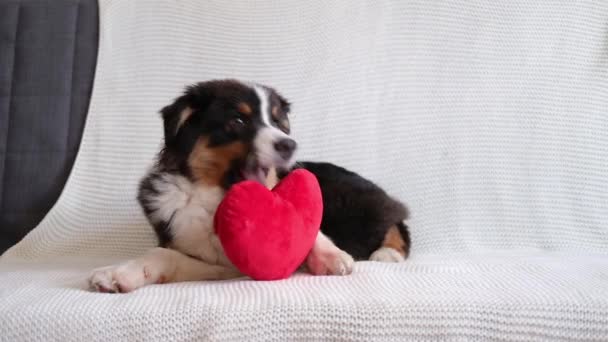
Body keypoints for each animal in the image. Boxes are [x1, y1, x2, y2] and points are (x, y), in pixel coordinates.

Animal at [88, 79, 410, 292]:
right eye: (238, 120)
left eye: (279, 123)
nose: (290, 144)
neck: (217, 199)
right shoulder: (215, 261)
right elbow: (163, 254)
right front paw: (118, 274)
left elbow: (313, 229)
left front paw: (329, 257)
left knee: (396, 220)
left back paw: (387, 252)